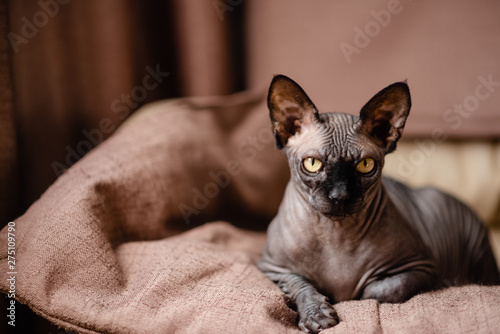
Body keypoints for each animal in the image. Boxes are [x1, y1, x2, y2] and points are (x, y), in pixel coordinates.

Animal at [258, 74, 500, 332]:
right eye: (312, 163)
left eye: (366, 165)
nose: (340, 195)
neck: (335, 235)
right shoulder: (272, 268)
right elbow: (300, 285)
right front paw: (316, 314)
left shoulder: (422, 267)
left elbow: (381, 289)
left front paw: (350, 295)